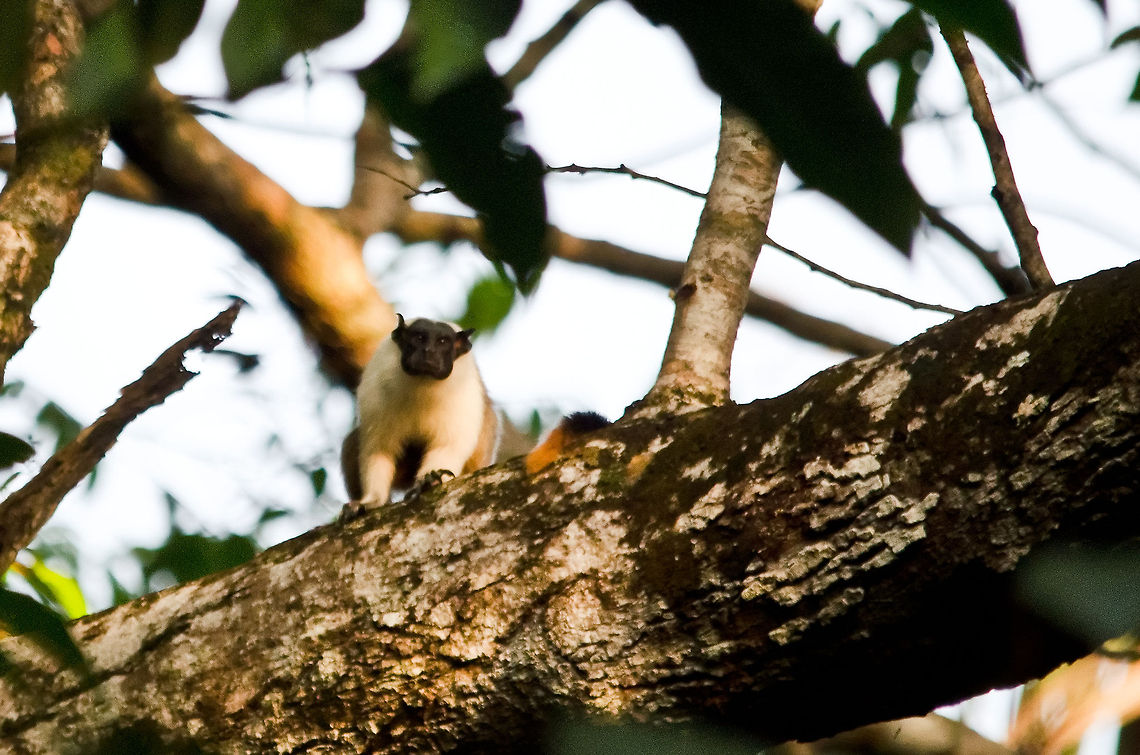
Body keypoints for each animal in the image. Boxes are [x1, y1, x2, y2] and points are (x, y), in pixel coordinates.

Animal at [340, 314, 499, 516]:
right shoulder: (375, 388)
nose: (429, 351)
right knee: (351, 442)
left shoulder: (464, 392)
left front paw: (429, 481)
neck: (423, 383)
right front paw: (372, 501)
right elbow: (379, 450)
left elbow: (449, 445)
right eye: (420, 338)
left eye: (442, 341)